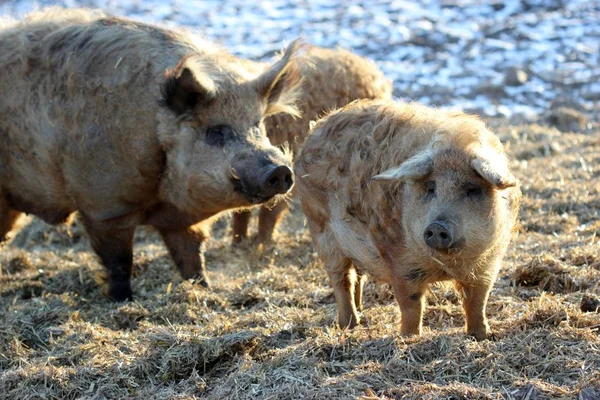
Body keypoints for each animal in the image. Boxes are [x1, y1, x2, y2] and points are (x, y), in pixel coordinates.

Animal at [0, 9, 300, 300]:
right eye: (216, 132)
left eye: (257, 125)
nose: (279, 169)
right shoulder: (104, 203)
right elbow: (119, 260)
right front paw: (123, 299)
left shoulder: (183, 221)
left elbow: (192, 255)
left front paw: (205, 288)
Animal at [296, 98, 520, 340]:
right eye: (431, 188)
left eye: (472, 189)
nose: (437, 226)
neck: (445, 265)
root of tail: (315, 128)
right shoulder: (400, 260)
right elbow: (411, 304)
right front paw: (409, 337)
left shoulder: (489, 263)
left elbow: (478, 301)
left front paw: (482, 335)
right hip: (320, 229)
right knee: (341, 279)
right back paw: (350, 324)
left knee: (357, 276)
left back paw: (360, 312)